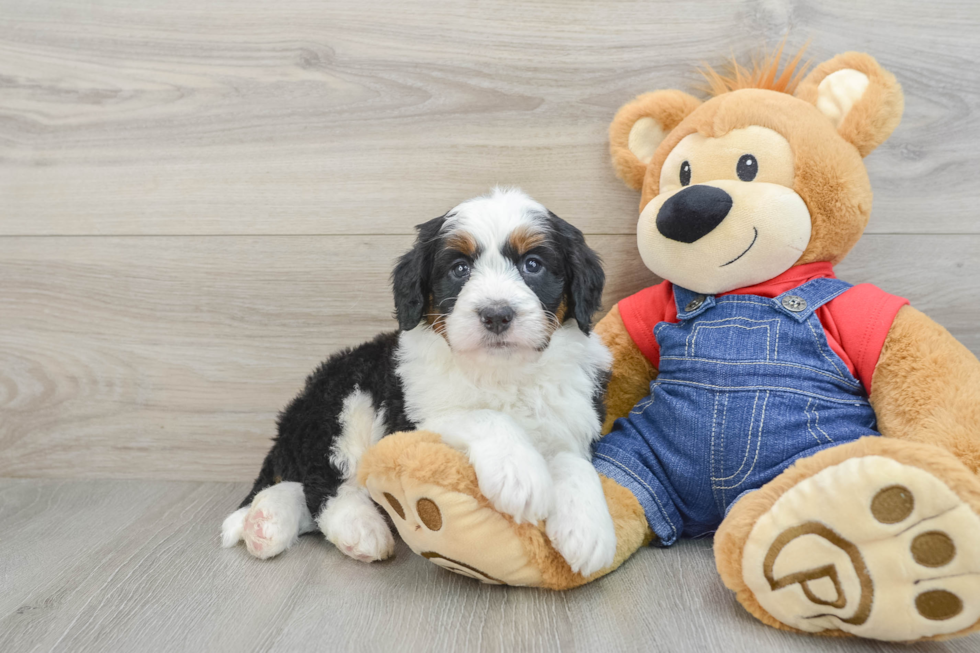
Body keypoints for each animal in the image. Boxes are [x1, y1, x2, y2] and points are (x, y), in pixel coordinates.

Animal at [226, 186, 616, 572]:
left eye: (532, 265)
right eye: (459, 268)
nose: (496, 315)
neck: (502, 373)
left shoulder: (573, 418)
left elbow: (572, 460)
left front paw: (588, 528)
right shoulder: (411, 419)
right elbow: (485, 417)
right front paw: (519, 474)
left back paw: (266, 522)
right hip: (344, 402)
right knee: (323, 482)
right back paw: (357, 527)